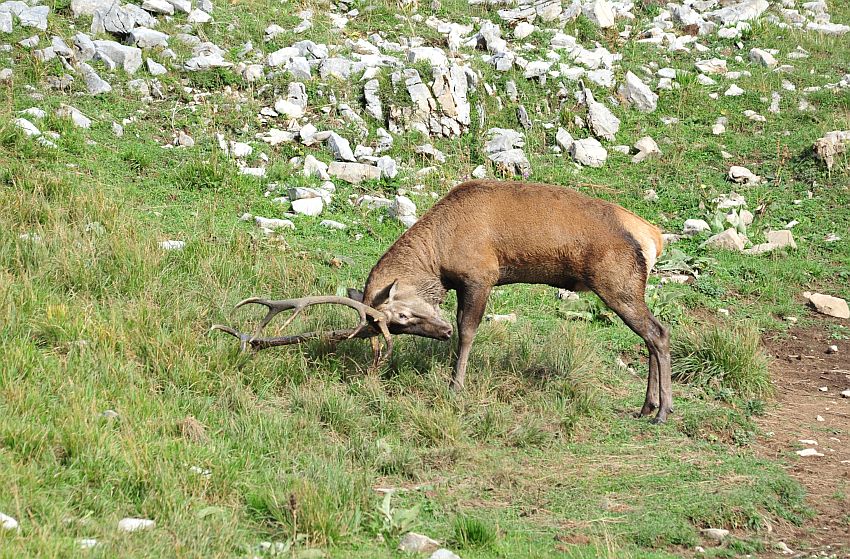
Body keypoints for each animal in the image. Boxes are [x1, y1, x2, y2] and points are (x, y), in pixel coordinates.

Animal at [214, 182, 676, 422]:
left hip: (617, 283)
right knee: (651, 336)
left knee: (659, 332)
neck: (439, 252)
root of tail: (654, 236)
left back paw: (662, 410)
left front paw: (456, 386)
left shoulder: (481, 276)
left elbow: (469, 332)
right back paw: (646, 406)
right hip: (626, 288)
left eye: (400, 317)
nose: (439, 331)